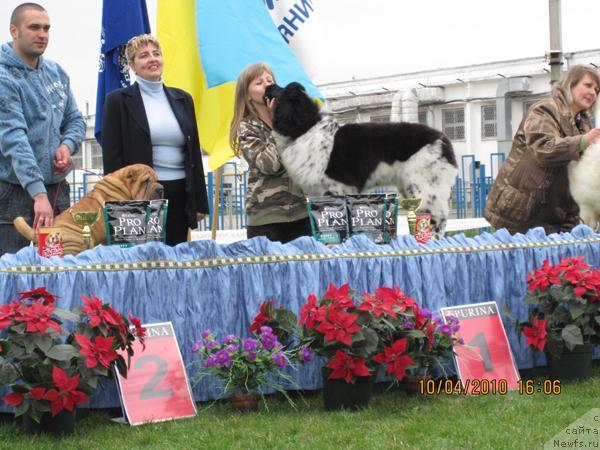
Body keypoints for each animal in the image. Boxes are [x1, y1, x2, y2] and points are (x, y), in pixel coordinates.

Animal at [13, 163, 163, 255]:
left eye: (156, 179)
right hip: (77, 240)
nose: (161, 188)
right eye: (146, 181)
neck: (124, 187)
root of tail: (37, 234)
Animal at [264, 84, 458, 239]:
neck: (304, 128)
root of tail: (443, 140)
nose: (269, 86)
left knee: (436, 218)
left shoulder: (337, 187)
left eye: (282, 90)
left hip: (427, 188)